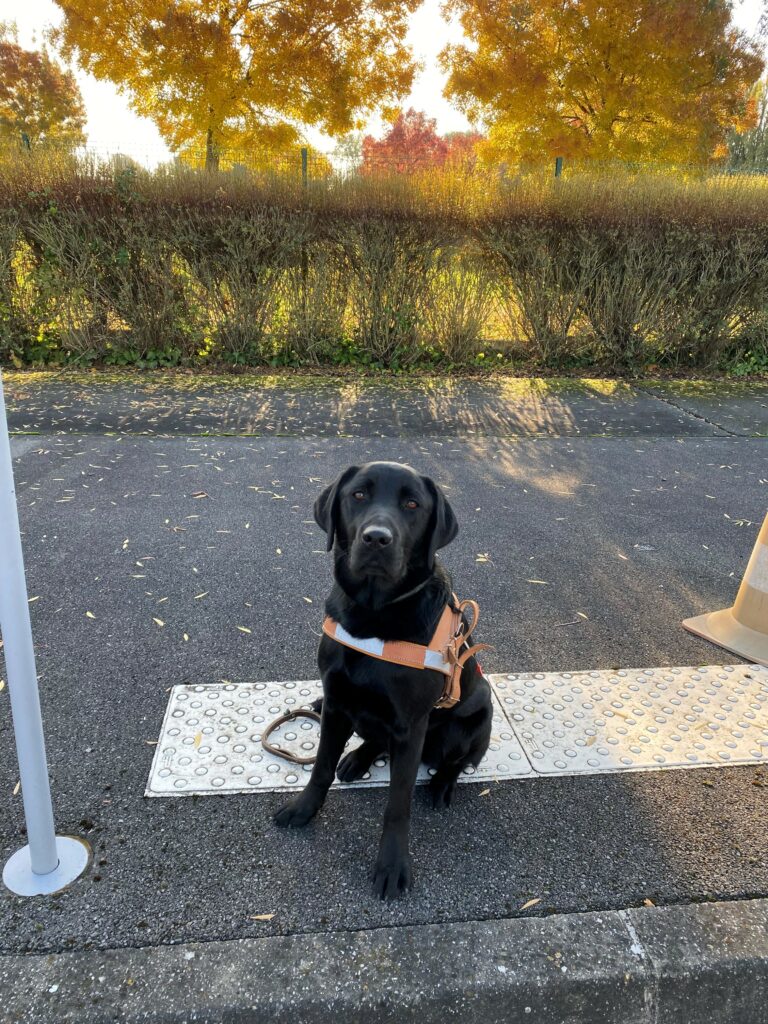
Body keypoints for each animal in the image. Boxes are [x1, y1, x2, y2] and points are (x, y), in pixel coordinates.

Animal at [276, 460, 493, 901]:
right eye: (358, 494)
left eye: (412, 504)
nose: (377, 538)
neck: (374, 615)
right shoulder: (336, 703)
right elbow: (321, 766)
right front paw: (304, 808)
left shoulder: (411, 726)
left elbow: (397, 804)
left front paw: (392, 866)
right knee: (372, 737)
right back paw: (358, 757)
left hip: (474, 717)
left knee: (459, 760)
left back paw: (441, 784)